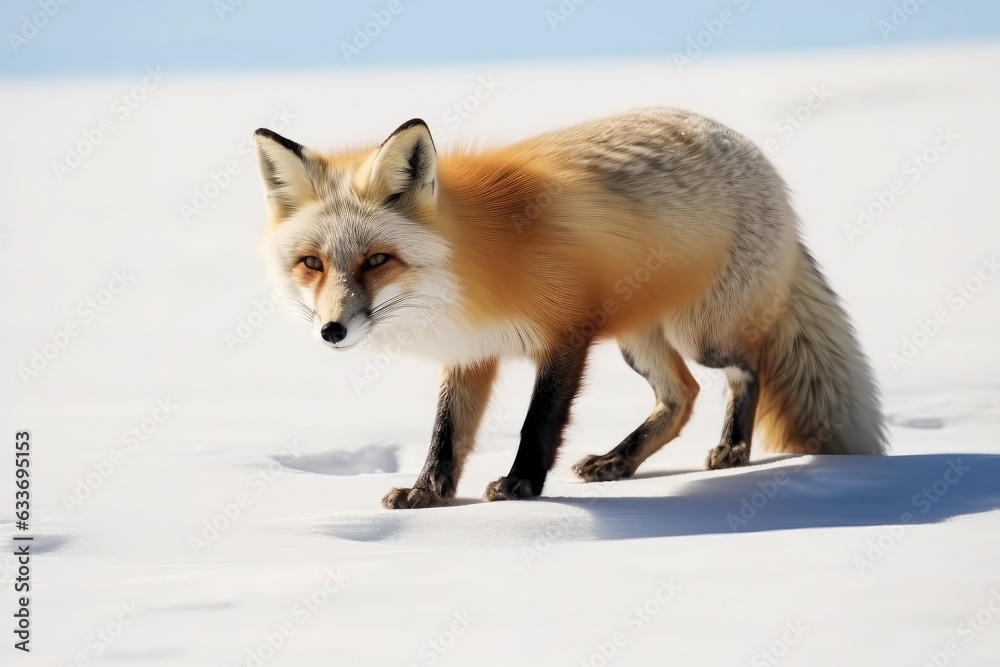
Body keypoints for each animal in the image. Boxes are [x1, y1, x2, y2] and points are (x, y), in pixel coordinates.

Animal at [252, 107, 888, 509]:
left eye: (377, 260)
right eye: (312, 263)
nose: (332, 330)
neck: (468, 272)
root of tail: (752, 151)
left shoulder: (566, 332)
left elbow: (538, 422)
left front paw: (520, 486)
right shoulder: (470, 353)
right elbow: (446, 432)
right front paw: (429, 493)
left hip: (702, 334)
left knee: (744, 369)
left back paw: (732, 449)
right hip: (636, 339)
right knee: (680, 397)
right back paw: (618, 463)